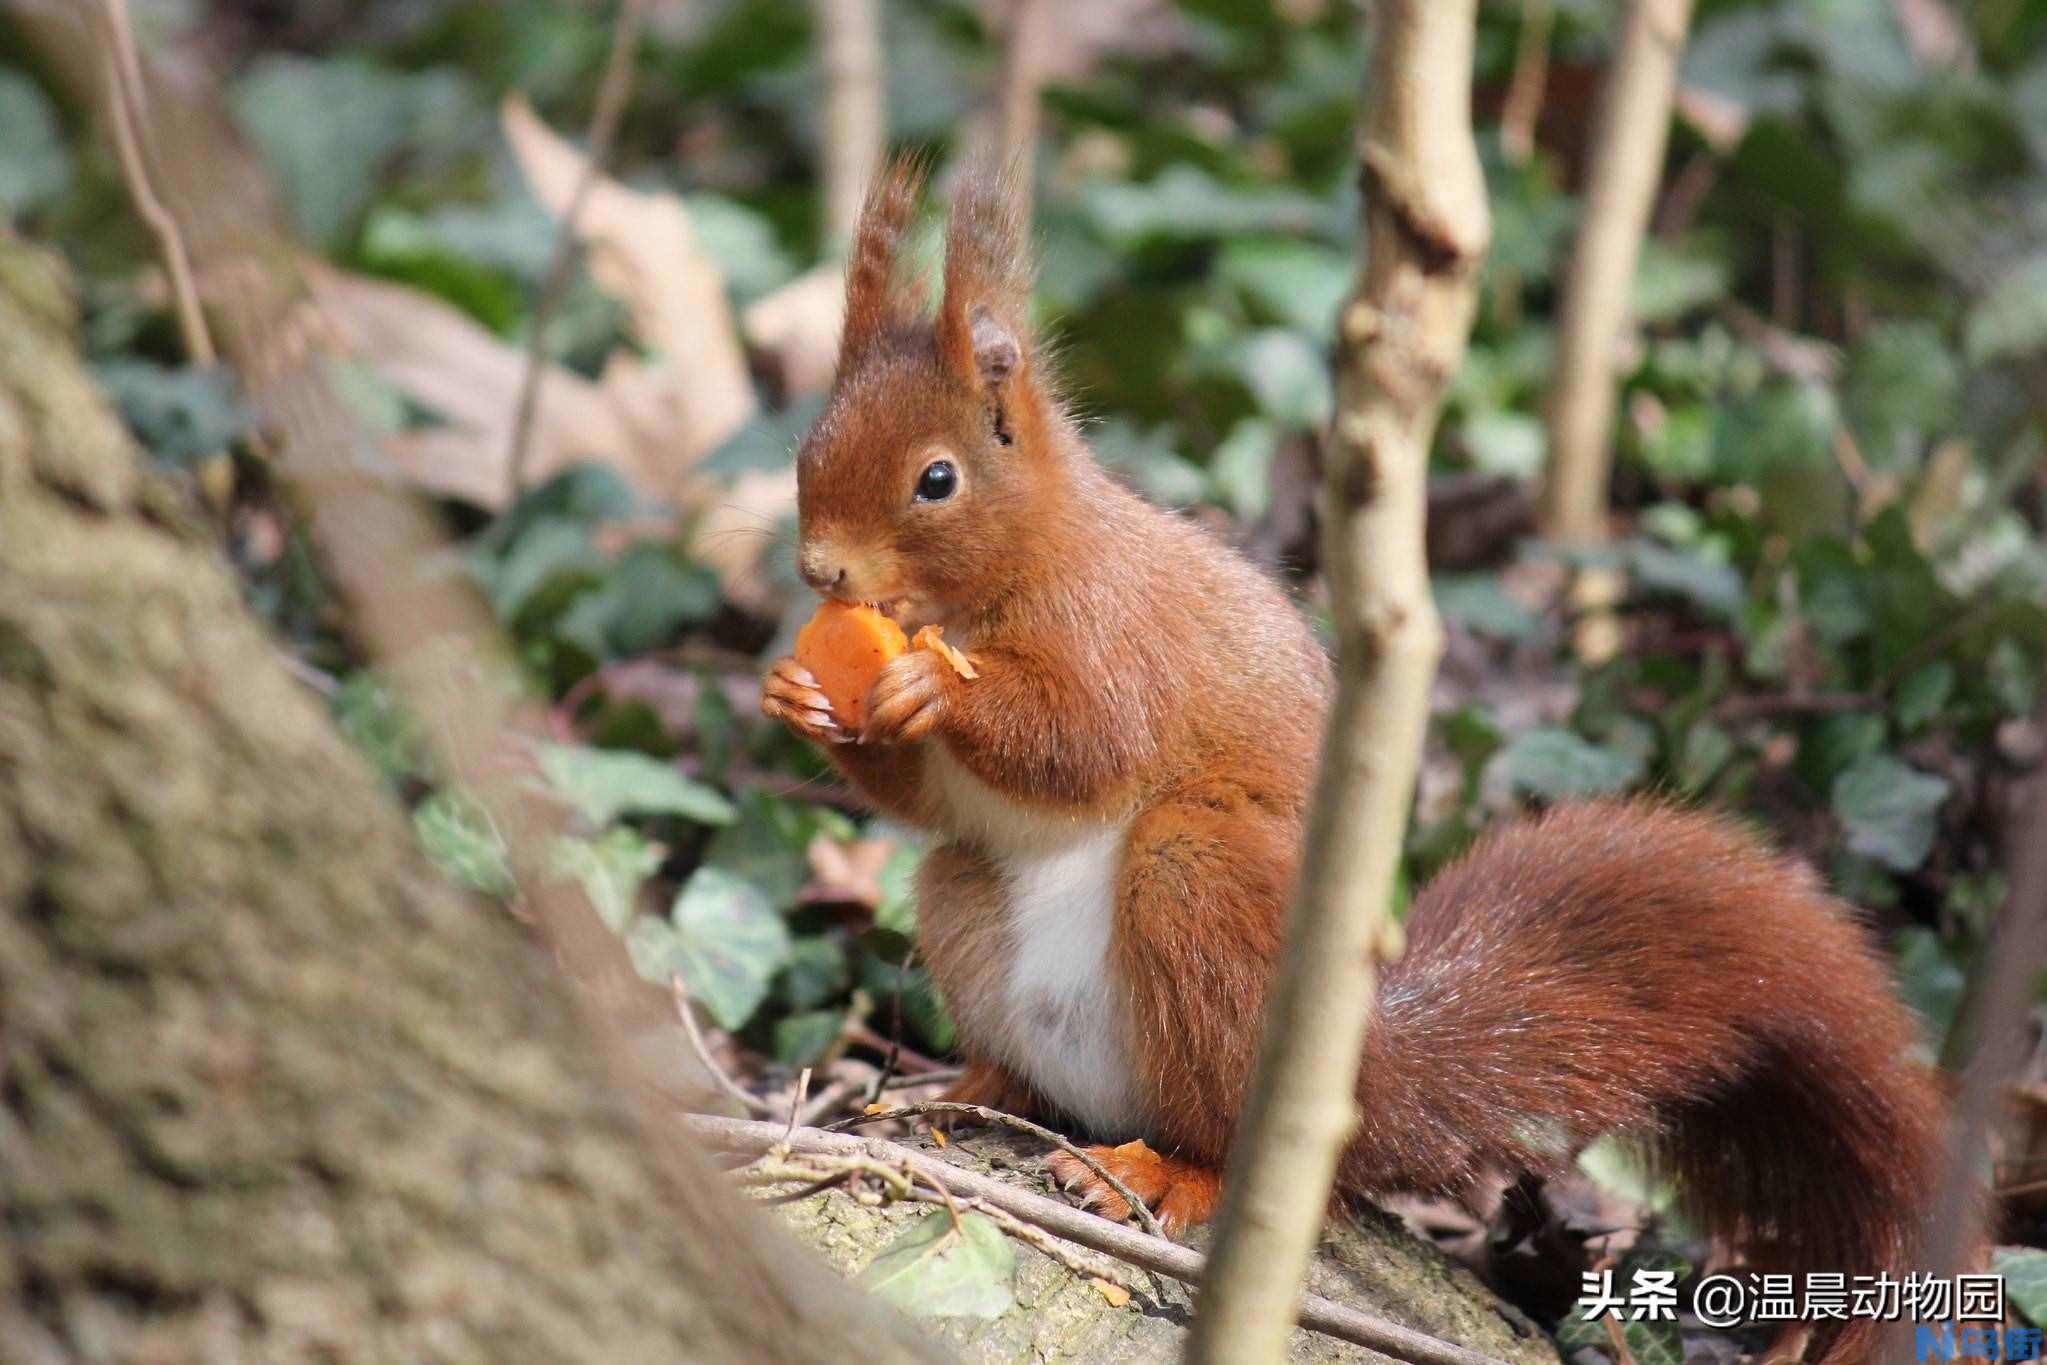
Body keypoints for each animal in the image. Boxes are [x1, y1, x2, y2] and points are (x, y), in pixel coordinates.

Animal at [761, 165, 1940, 1358]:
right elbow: (921, 794)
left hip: (1201, 885)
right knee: (1001, 994)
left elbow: (1083, 739)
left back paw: (1163, 1174)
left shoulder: (1113, 630)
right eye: (807, 447)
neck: (987, 585)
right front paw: (801, 697)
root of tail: (1356, 1077)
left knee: (1225, 1126)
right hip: (963, 899)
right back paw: (954, 1090)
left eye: (936, 479)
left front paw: (931, 688)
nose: (819, 571)